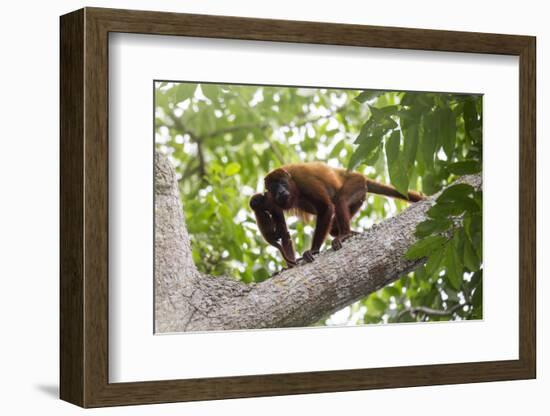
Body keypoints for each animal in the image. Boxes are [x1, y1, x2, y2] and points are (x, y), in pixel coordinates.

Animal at [260, 161, 424, 262]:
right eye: (273, 187)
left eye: (282, 183)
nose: (280, 191)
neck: (292, 184)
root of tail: (360, 176)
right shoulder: (270, 198)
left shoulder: (303, 180)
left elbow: (326, 208)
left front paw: (313, 250)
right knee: (333, 227)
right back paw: (351, 233)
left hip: (356, 183)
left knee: (340, 199)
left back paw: (345, 234)